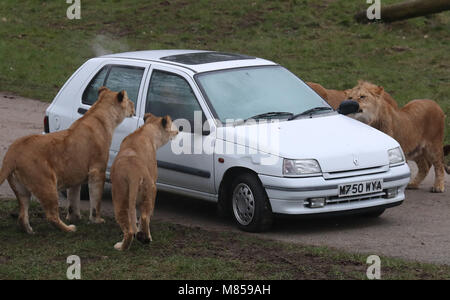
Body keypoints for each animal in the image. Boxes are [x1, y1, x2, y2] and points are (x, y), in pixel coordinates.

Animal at [0, 87, 134, 234]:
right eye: (129, 100)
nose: (134, 106)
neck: (100, 116)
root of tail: (12, 152)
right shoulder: (97, 171)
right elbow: (96, 200)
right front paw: (96, 220)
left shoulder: (75, 174)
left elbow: (73, 199)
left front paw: (75, 217)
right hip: (47, 184)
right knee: (51, 216)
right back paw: (69, 229)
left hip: (21, 190)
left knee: (22, 215)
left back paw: (30, 231)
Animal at [110, 113, 178, 250]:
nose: (179, 129)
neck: (145, 131)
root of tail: (133, 174)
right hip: (148, 190)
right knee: (145, 217)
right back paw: (144, 239)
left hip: (121, 197)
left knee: (131, 228)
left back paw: (124, 245)